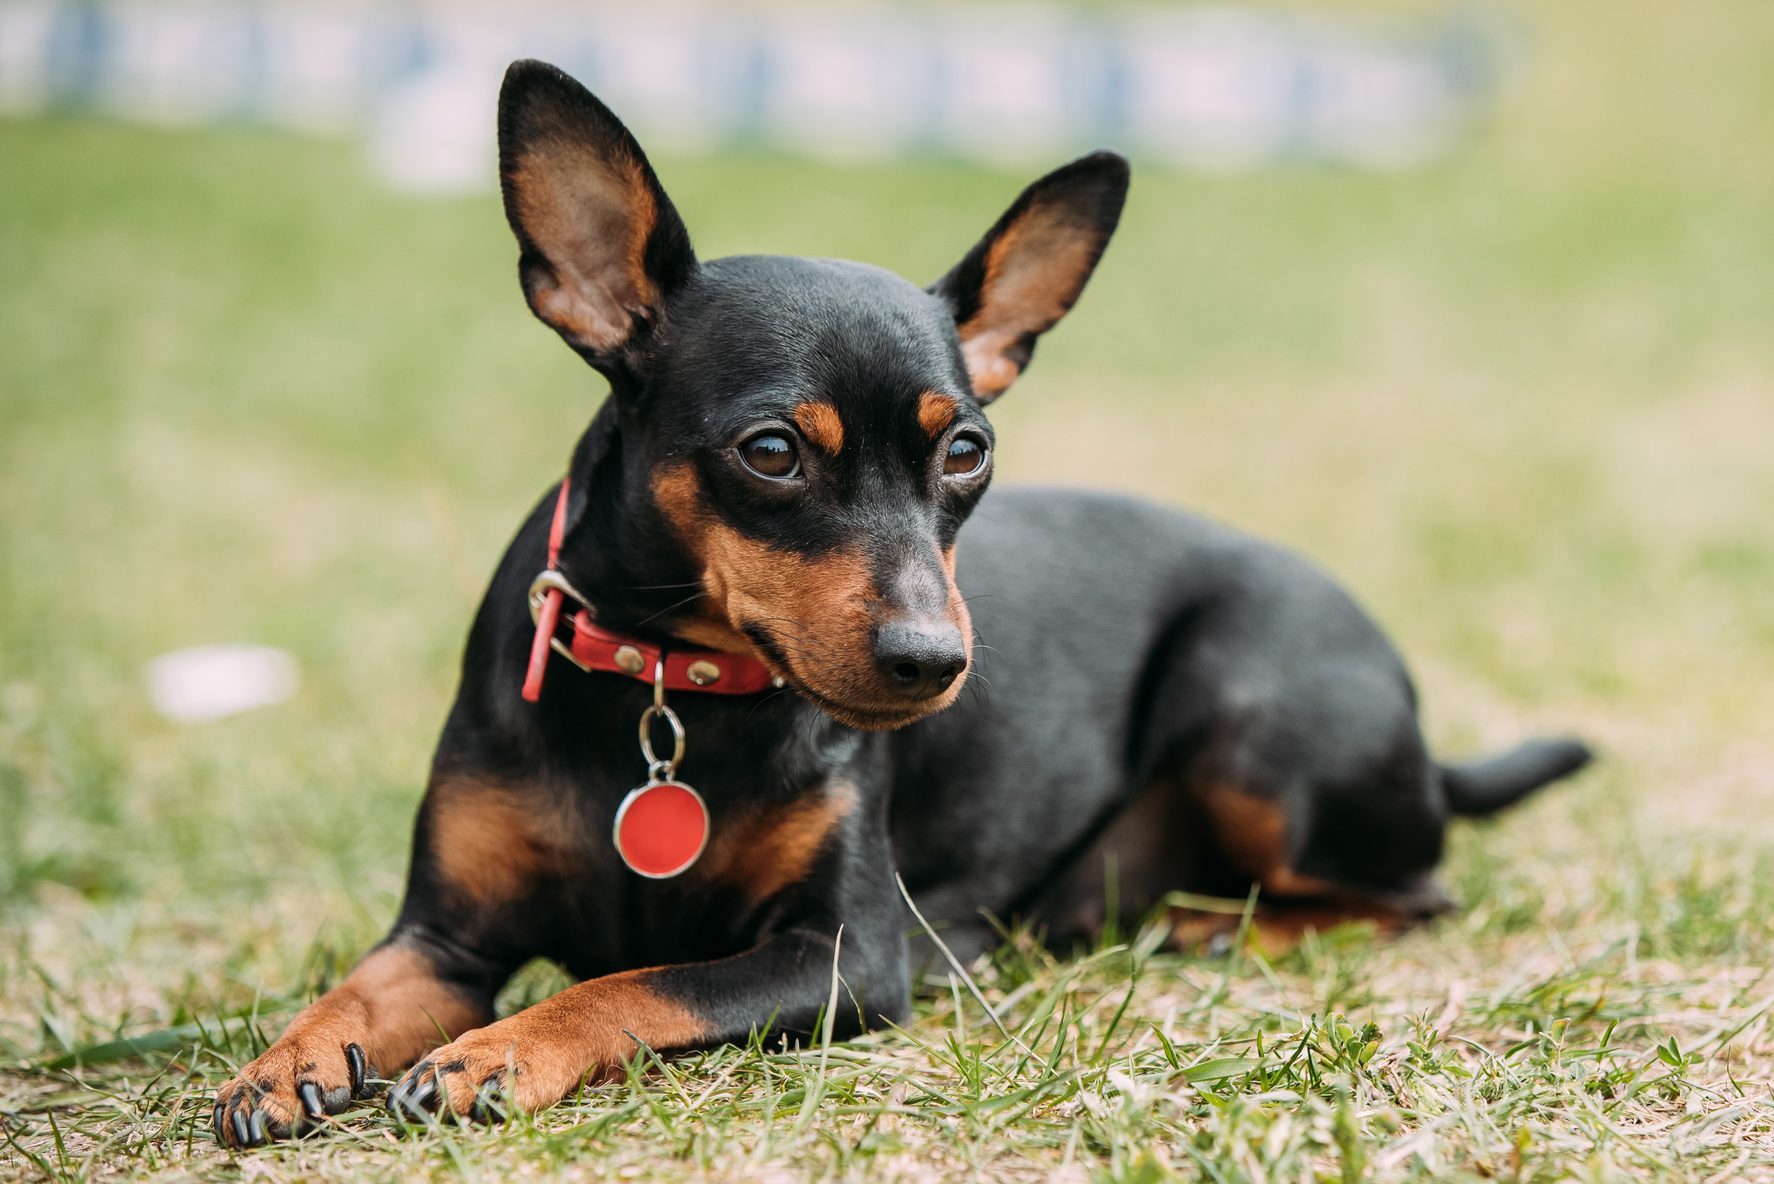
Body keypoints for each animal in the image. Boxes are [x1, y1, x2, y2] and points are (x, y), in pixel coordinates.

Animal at [211, 57, 1596, 1150]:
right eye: (772, 451)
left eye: (967, 450)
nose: (933, 660)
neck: (670, 688)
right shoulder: (443, 935)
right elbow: (359, 987)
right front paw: (284, 1059)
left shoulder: (844, 954)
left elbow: (638, 982)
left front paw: (499, 1048)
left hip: (1256, 717)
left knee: (1414, 892)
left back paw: (1214, 927)